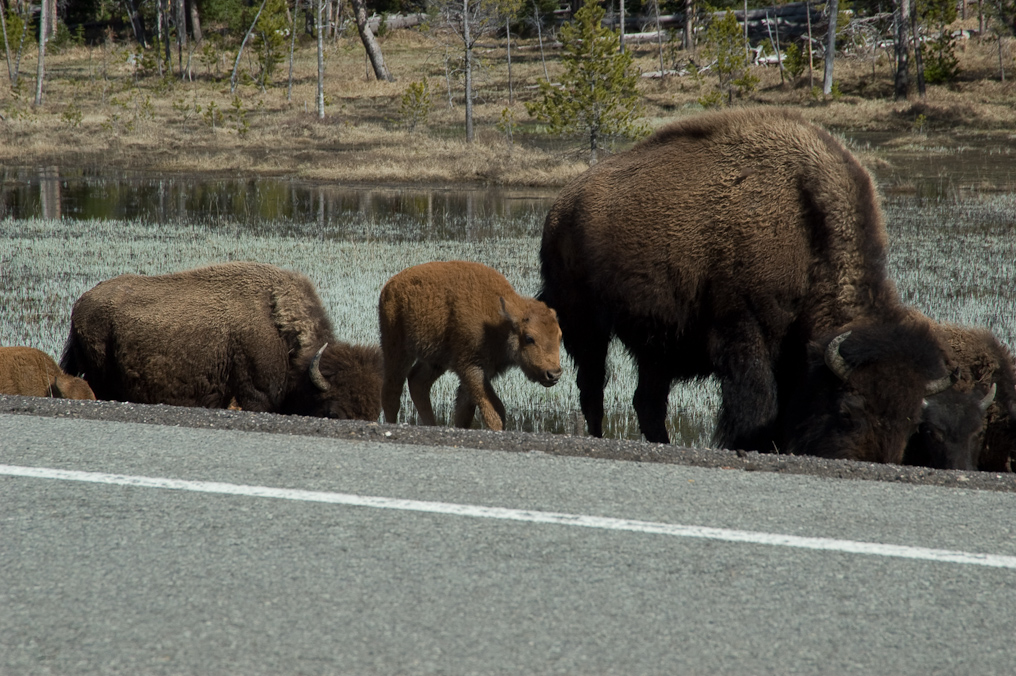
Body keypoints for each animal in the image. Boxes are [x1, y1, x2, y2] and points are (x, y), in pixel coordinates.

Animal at [379, 260, 562, 431]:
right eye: (529, 338)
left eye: (560, 336)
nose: (553, 374)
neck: (499, 322)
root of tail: (390, 285)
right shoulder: (471, 367)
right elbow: (494, 409)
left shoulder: (479, 372)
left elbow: (465, 409)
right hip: (397, 348)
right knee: (392, 390)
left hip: (435, 361)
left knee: (417, 382)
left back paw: (431, 424)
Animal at [539, 107, 955, 463]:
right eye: (848, 409)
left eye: (912, 422)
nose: (871, 459)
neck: (806, 232)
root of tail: (562, 206)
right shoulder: (745, 333)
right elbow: (758, 403)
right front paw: (750, 444)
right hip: (586, 324)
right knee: (593, 386)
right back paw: (598, 436)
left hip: (656, 345)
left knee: (647, 401)